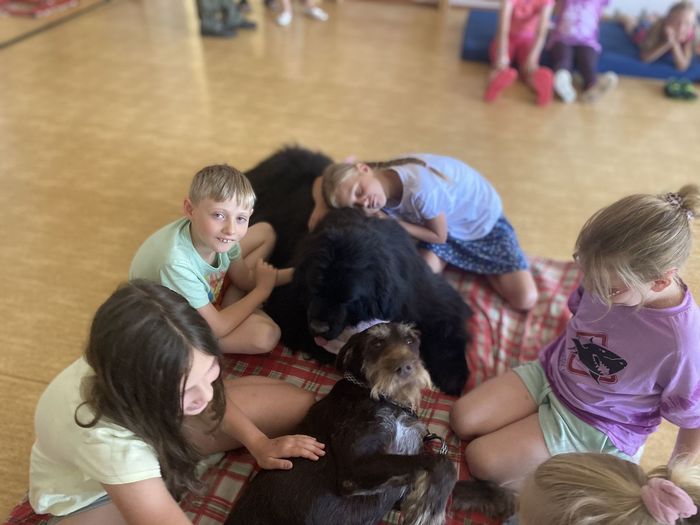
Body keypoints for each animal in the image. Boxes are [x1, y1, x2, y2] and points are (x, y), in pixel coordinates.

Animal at [226, 323, 514, 525]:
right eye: (376, 343)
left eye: (411, 341)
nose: (406, 368)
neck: (388, 400)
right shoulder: (354, 470)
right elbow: (443, 464)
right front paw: (432, 506)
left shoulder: (402, 486)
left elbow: (461, 483)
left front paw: (501, 499)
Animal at [264, 208, 472, 395]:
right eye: (314, 289)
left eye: (347, 299)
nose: (318, 328)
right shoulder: (286, 302)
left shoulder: (425, 297)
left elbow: (444, 328)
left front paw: (452, 376)